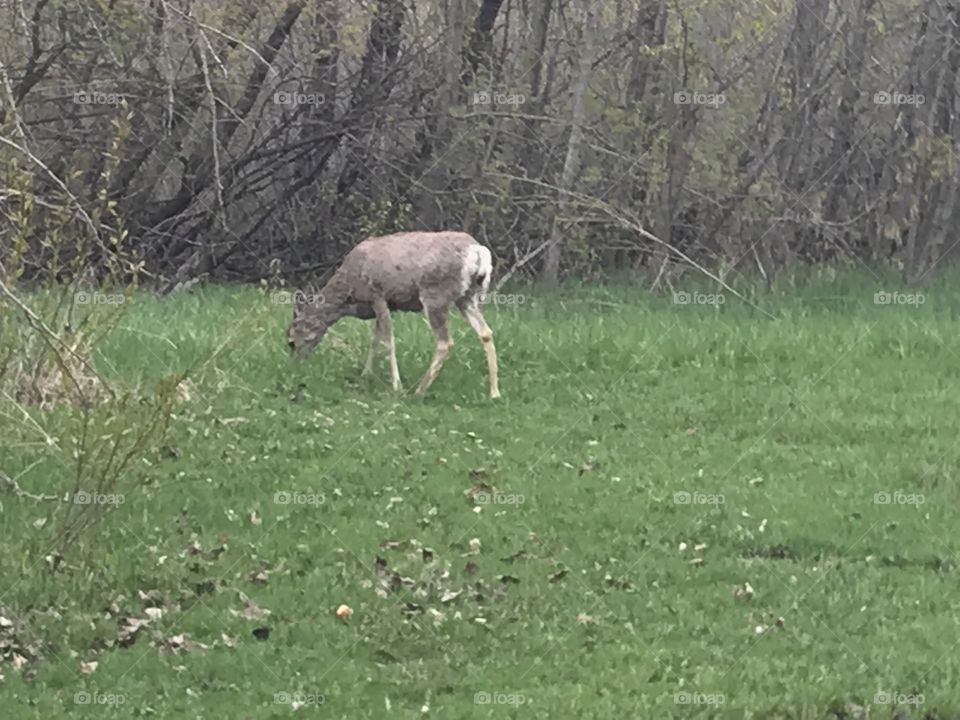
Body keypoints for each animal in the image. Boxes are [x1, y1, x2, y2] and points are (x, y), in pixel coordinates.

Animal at [286, 232, 502, 396]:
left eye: (291, 341)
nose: (297, 362)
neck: (349, 291)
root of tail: (478, 252)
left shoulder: (378, 295)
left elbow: (388, 341)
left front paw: (396, 385)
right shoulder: (383, 305)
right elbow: (375, 339)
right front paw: (366, 373)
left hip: (435, 295)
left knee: (444, 342)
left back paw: (418, 391)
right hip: (468, 297)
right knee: (486, 333)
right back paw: (494, 392)